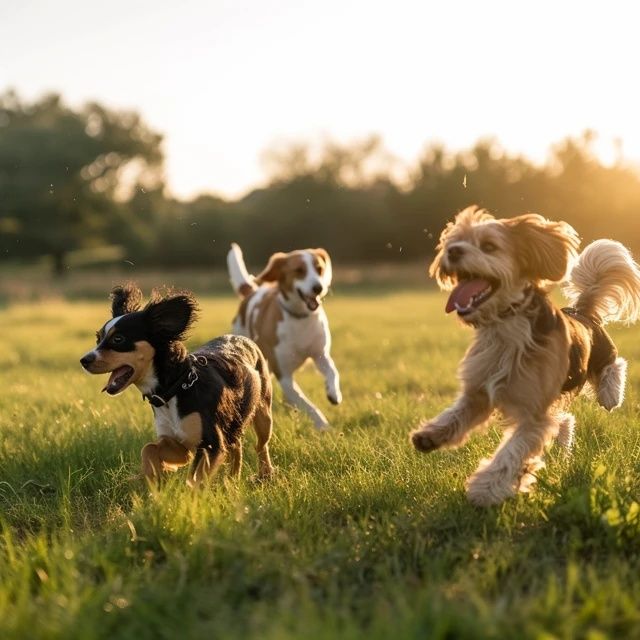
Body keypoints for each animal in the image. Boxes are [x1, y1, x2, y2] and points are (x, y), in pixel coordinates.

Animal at [79, 282, 274, 488]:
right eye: (98, 338)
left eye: (118, 339)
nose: (84, 360)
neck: (175, 389)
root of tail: (243, 338)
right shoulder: (179, 443)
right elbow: (149, 448)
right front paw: (153, 477)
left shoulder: (212, 444)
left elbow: (196, 478)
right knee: (237, 445)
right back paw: (232, 479)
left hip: (263, 414)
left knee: (261, 445)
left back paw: (265, 474)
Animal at [228, 241, 342, 430]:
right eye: (299, 270)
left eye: (319, 269)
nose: (318, 287)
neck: (300, 317)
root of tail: (252, 291)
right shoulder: (284, 375)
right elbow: (305, 403)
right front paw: (322, 425)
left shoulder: (320, 354)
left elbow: (332, 371)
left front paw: (333, 392)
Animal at [410, 208, 640, 508]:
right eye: (454, 241)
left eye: (489, 246)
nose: (453, 251)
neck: (505, 327)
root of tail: (581, 312)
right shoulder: (480, 393)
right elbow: (456, 414)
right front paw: (431, 435)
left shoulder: (533, 414)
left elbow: (511, 453)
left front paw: (485, 489)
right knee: (565, 420)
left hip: (601, 355)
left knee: (615, 366)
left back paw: (610, 394)